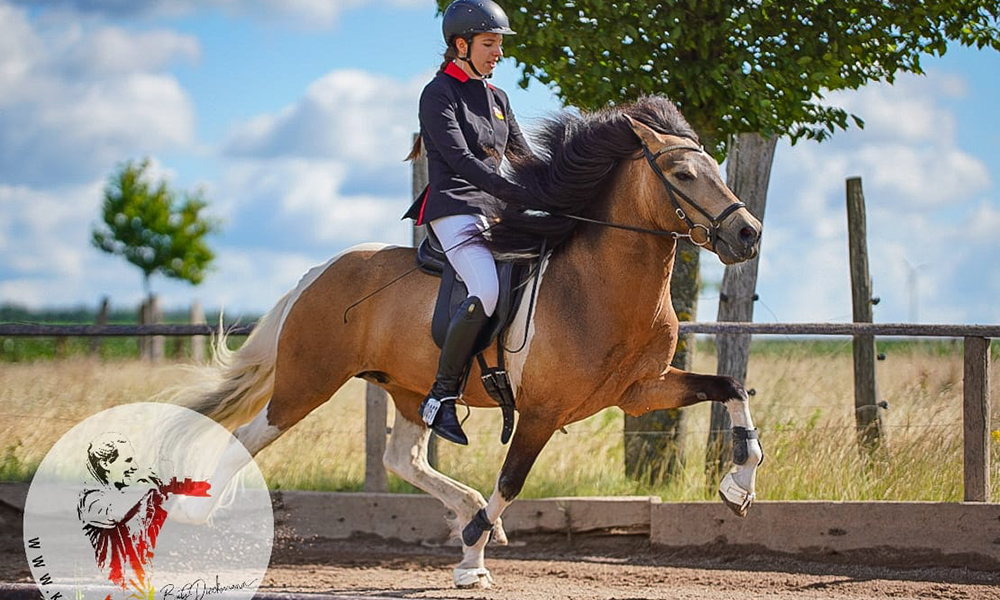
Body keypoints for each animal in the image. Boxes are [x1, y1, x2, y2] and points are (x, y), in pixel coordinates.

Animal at [168, 96, 764, 588]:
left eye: (717, 169)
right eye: (683, 173)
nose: (748, 234)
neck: (599, 286)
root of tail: (319, 272)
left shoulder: (642, 391)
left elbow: (731, 387)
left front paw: (738, 485)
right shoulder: (542, 412)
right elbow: (512, 481)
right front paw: (472, 554)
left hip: (409, 389)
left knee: (401, 458)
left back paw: (466, 508)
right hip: (308, 382)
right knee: (249, 435)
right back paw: (196, 521)